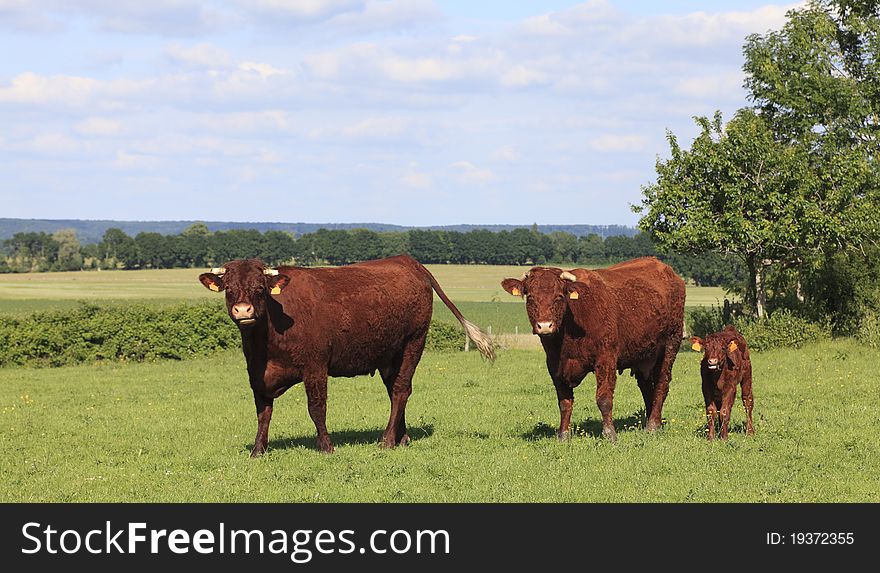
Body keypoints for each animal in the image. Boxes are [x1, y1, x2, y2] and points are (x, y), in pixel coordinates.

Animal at [199, 255, 496, 456]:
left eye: (260, 288)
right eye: (229, 288)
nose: (243, 311)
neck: (267, 342)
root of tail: (408, 261)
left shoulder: (315, 366)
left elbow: (316, 408)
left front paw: (326, 446)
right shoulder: (256, 373)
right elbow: (263, 412)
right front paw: (258, 450)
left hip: (413, 343)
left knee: (401, 389)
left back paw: (387, 440)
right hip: (389, 355)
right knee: (396, 391)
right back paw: (401, 437)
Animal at [502, 256, 688, 440]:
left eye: (559, 297)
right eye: (530, 297)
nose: (545, 326)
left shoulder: (606, 359)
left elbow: (604, 399)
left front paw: (609, 433)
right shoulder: (554, 365)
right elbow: (564, 402)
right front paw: (563, 435)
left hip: (671, 344)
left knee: (662, 385)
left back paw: (653, 425)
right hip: (645, 355)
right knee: (646, 387)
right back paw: (651, 421)